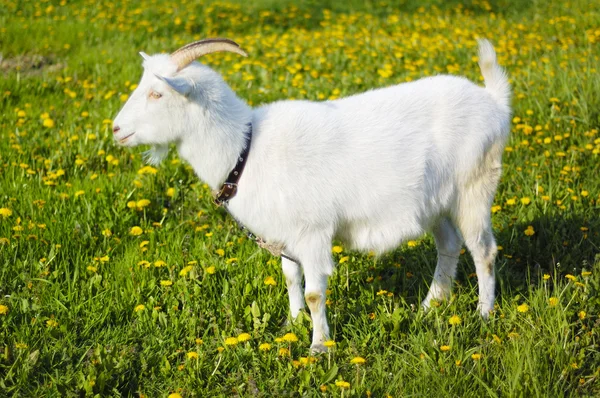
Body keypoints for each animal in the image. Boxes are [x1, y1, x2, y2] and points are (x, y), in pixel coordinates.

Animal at [113, 39, 510, 352]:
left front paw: (319, 347)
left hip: (474, 187)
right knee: (449, 244)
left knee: (484, 251)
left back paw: (484, 314)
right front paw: (291, 324)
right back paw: (430, 305)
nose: (116, 129)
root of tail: (494, 102)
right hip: (436, 203)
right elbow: (291, 278)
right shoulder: (285, 233)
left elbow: (315, 292)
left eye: (157, 93)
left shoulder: (314, 231)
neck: (247, 148)